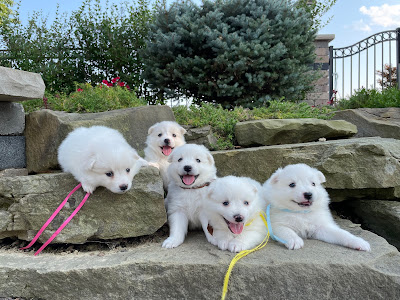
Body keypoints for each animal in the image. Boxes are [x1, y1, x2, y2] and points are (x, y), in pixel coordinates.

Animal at [19, 126, 147, 255]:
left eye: (128, 170)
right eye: (109, 173)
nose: (124, 186)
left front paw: (145, 162)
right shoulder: (78, 167)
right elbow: (83, 177)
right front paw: (88, 186)